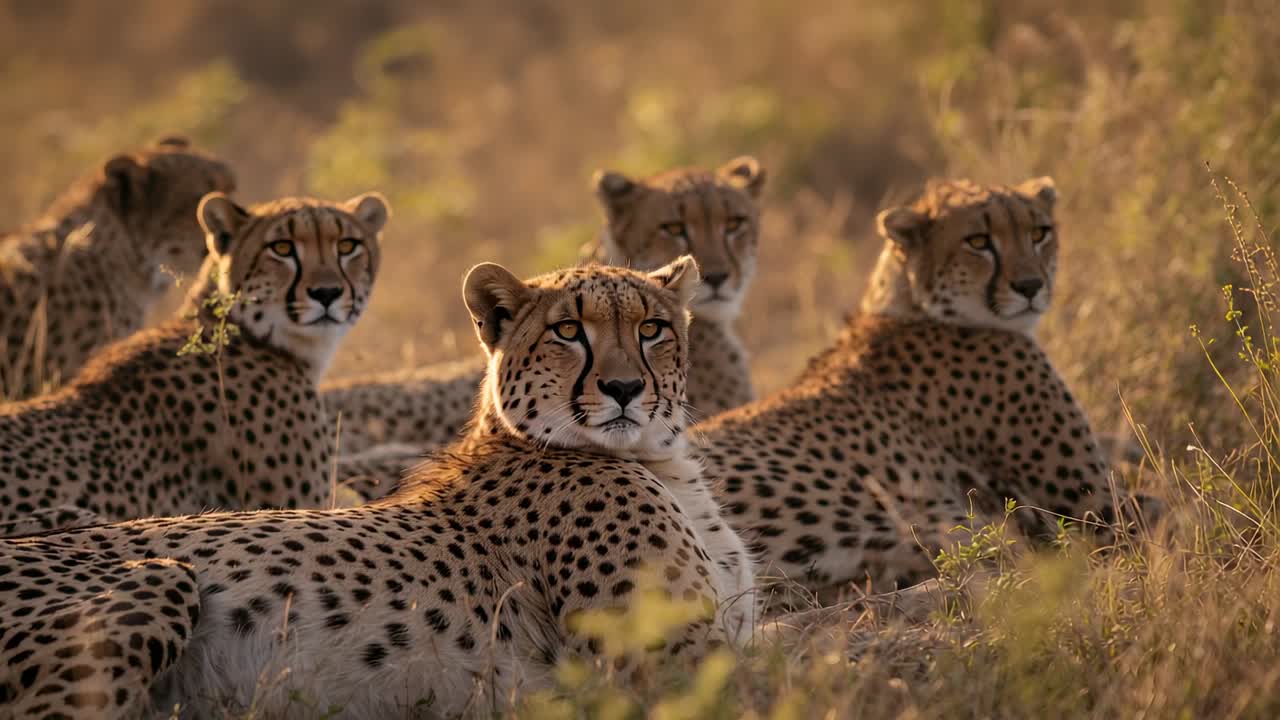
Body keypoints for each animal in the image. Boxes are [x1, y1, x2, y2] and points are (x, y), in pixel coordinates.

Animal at [0, 257, 756, 719]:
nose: (624, 388)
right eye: (568, 330)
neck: (653, 459)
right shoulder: (672, 666)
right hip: (157, 576)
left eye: (652, 328)